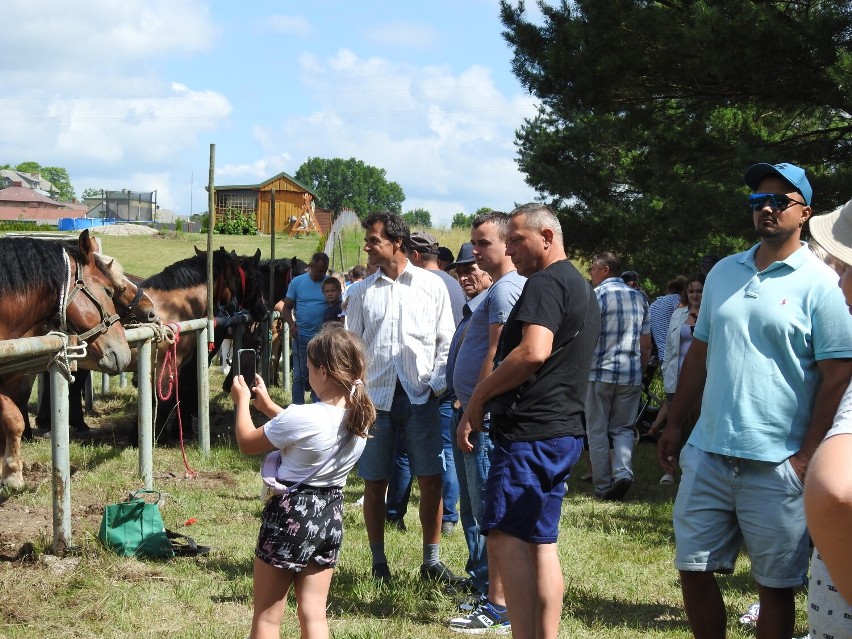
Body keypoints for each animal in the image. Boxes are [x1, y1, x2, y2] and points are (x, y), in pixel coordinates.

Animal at [0, 232, 135, 488]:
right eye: (109, 291)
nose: (124, 354)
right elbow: (13, 417)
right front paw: (12, 473)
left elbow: (13, 420)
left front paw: (10, 472)